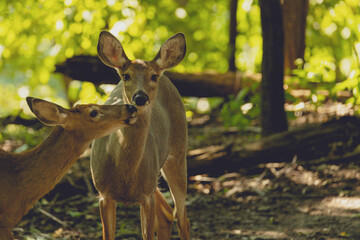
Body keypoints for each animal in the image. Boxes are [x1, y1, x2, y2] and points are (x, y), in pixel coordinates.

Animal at [90, 31, 191, 240]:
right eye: (126, 75)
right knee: (167, 214)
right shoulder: (103, 194)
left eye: (152, 76)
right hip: (154, 178)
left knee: (182, 218)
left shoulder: (146, 197)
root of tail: (166, 75)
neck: (125, 173)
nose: (140, 97)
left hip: (178, 153)